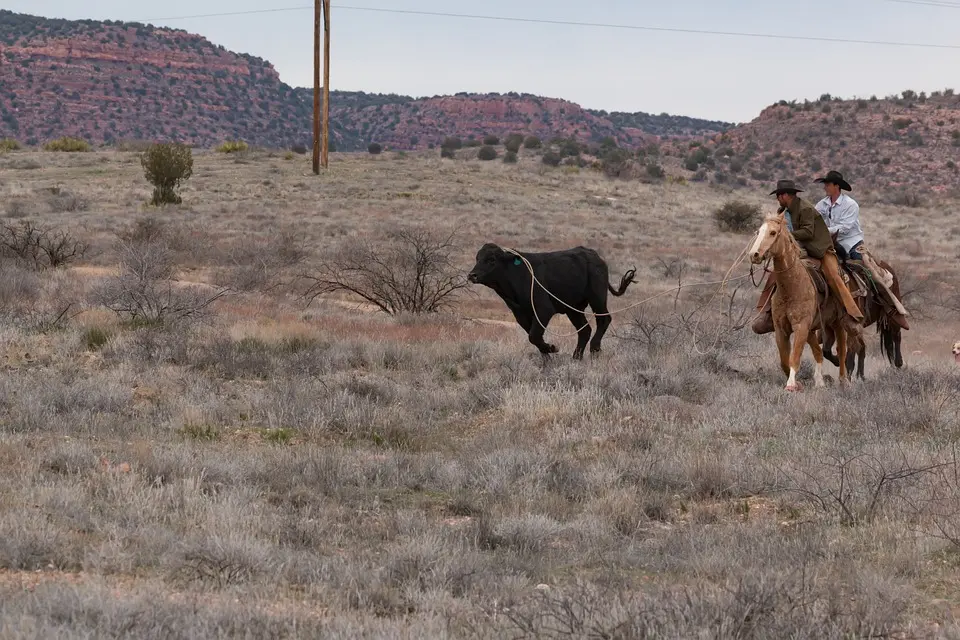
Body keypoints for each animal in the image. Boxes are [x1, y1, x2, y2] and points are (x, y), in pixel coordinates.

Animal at [466, 242, 636, 358]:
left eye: (491, 259)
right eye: (477, 258)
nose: (472, 275)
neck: (517, 274)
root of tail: (595, 256)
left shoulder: (543, 310)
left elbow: (534, 335)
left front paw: (552, 348)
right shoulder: (520, 314)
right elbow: (534, 336)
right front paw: (547, 353)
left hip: (597, 298)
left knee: (604, 319)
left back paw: (594, 348)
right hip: (573, 309)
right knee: (585, 329)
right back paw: (576, 357)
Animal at [748, 212, 852, 390]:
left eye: (773, 232)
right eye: (758, 231)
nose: (754, 254)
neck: (791, 288)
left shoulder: (801, 326)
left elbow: (794, 357)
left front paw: (791, 385)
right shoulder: (781, 329)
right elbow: (784, 360)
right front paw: (797, 383)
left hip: (837, 323)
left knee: (842, 350)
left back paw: (843, 380)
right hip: (811, 330)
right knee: (818, 352)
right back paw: (819, 381)